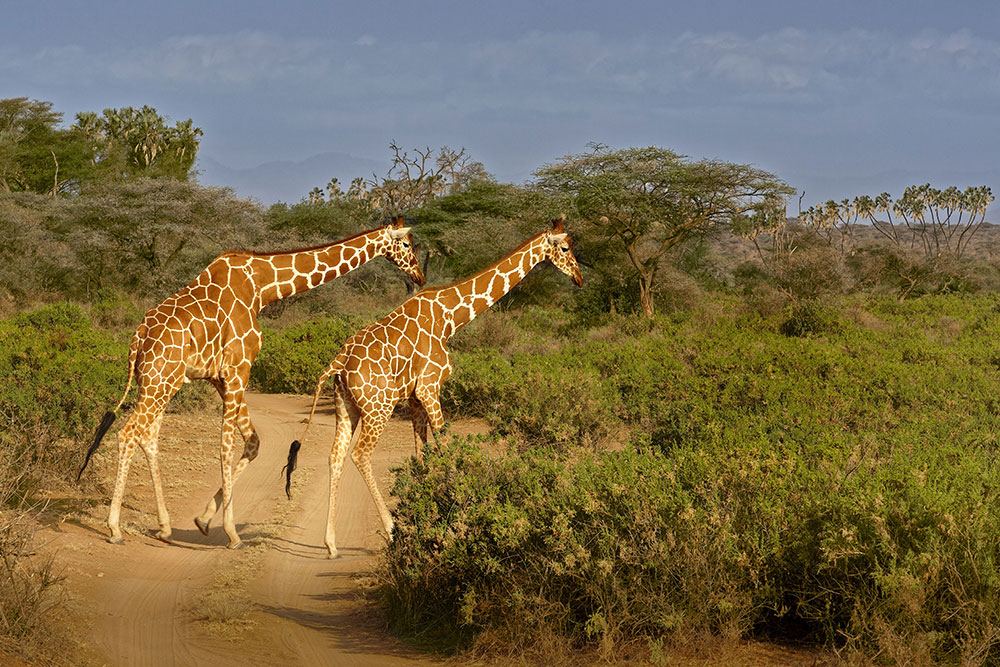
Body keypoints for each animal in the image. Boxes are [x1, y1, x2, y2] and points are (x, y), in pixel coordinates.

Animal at [78, 217, 425, 549]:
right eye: (407, 244)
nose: (420, 277)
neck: (262, 287)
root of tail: (137, 339)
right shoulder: (238, 369)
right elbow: (225, 446)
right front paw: (231, 533)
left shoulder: (220, 377)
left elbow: (253, 442)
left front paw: (204, 519)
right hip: (159, 381)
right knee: (128, 434)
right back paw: (114, 528)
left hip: (159, 383)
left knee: (148, 436)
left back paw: (163, 527)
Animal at [286, 216, 583, 557]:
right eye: (565, 248)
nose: (579, 278)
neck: (450, 317)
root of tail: (338, 363)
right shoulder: (430, 386)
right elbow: (444, 445)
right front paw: (458, 511)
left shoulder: (415, 397)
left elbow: (421, 453)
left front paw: (424, 507)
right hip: (379, 406)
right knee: (359, 454)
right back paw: (391, 529)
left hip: (346, 405)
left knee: (335, 455)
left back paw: (331, 544)